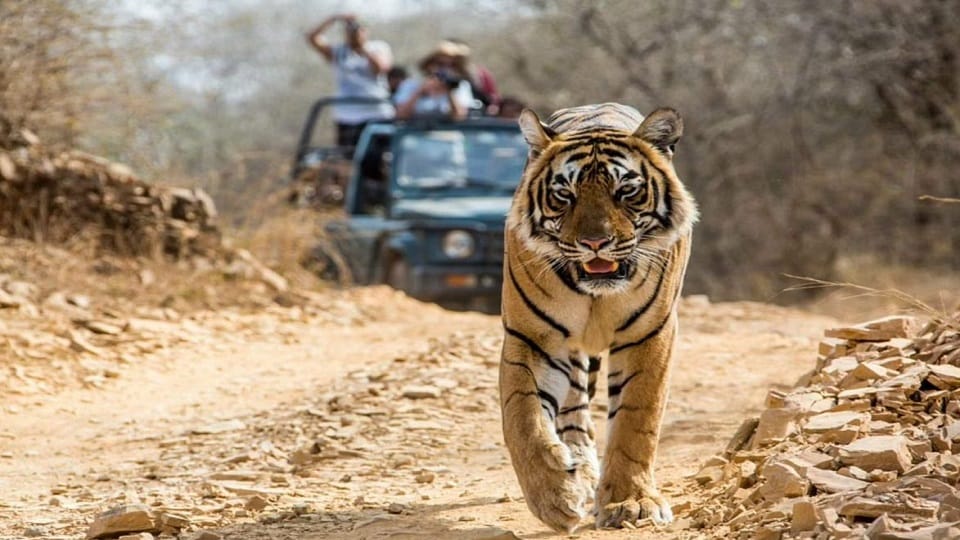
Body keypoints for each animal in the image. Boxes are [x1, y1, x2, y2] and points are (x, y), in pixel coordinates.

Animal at [499, 102, 698, 532]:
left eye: (626, 191)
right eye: (564, 195)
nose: (595, 243)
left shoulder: (649, 334)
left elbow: (636, 422)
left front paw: (632, 502)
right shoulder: (532, 337)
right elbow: (523, 418)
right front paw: (554, 496)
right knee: (573, 409)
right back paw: (579, 470)